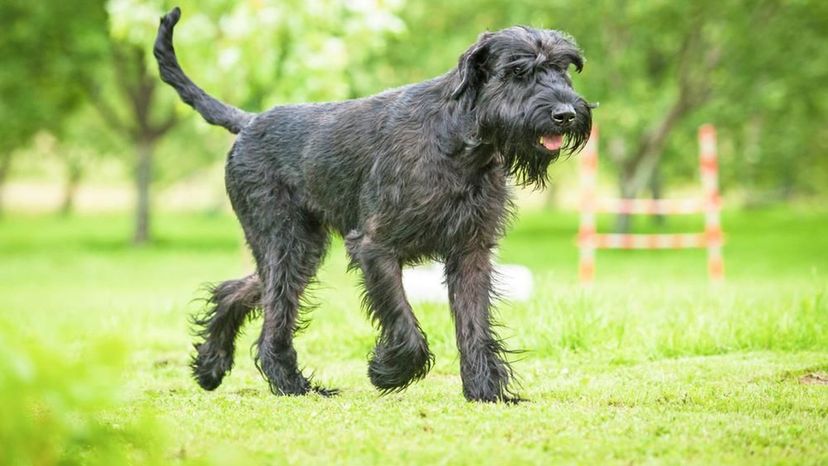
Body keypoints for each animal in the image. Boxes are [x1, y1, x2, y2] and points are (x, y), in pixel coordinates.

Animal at [155, 5, 592, 402]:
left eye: (563, 68)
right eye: (518, 72)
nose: (566, 113)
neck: (460, 143)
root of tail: (248, 122)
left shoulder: (471, 252)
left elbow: (474, 324)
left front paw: (485, 390)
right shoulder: (375, 247)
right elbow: (404, 321)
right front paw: (388, 372)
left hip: (302, 248)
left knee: (238, 291)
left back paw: (210, 366)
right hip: (285, 243)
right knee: (274, 318)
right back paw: (293, 385)